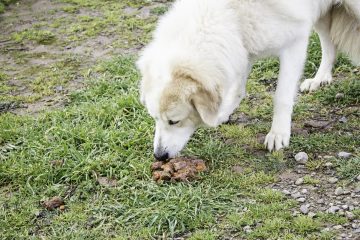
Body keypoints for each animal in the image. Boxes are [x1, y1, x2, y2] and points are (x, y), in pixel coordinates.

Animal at [136, 0, 358, 161]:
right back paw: (320, 78)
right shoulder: (243, 48)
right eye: (154, 118)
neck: (231, 13)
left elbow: (282, 97)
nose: (159, 156)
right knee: (329, 43)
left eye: (174, 121)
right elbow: (237, 90)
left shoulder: (294, 42)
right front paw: (221, 114)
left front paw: (278, 133)